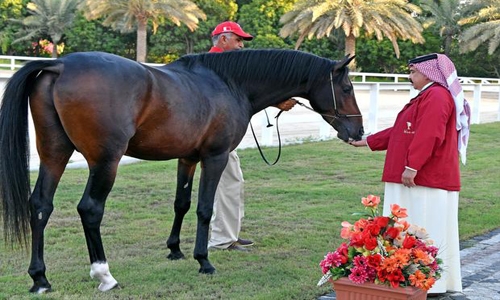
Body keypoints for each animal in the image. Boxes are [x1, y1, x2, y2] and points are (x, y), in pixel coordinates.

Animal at [0, 49, 362, 292]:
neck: (228, 83)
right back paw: (104, 275)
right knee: (90, 209)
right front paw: (204, 261)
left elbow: (181, 204)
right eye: (346, 89)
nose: (357, 131)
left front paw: (174, 250)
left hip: (54, 154)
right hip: (105, 162)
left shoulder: (187, 159)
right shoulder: (215, 158)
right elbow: (204, 209)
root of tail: (61, 64)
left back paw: (40, 278)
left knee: (41, 206)